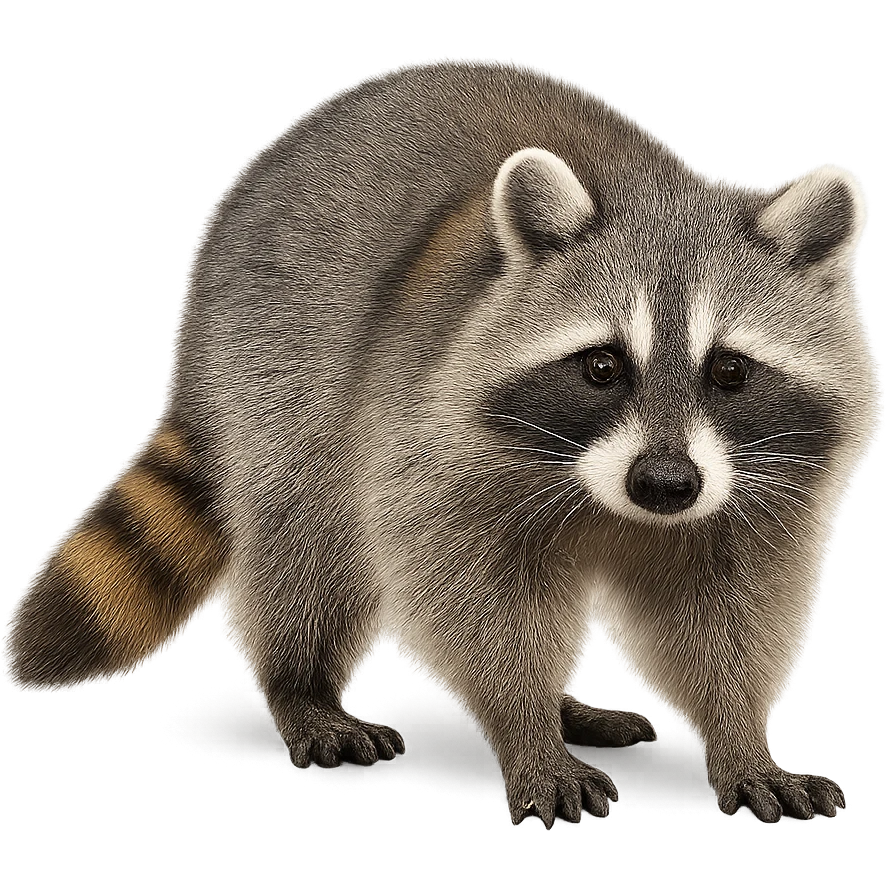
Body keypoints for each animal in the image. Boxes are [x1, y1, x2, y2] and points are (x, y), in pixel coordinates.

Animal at [4, 57, 878, 827]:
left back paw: (564, 704)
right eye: (601, 366)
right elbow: (473, 596)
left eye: (730, 370)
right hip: (278, 356)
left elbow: (726, 609)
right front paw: (526, 732)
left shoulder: (756, 484)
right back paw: (300, 683)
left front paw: (739, 736)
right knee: (310, 535)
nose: (664, 485)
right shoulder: (429, 433)